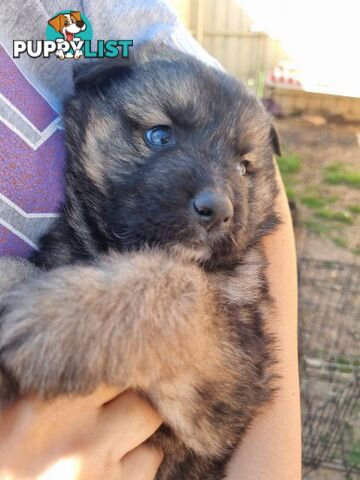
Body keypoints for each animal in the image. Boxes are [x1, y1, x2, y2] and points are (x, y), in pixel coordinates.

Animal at [0, 44, 282, 476]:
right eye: (160, 135)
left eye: (243, 167)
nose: (218, 210)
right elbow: (19, 268)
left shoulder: (236, 380)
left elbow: (180, 285)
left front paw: (56, 319)